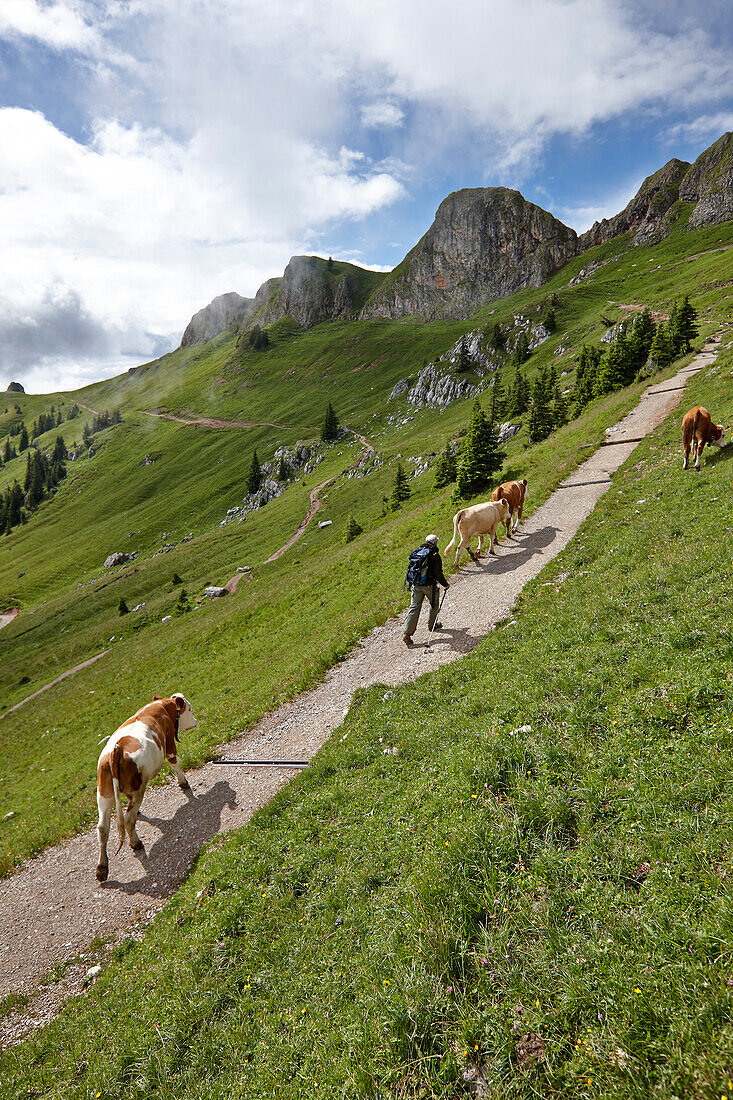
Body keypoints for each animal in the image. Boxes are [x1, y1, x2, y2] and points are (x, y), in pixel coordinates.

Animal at [94, 690, 197, 880]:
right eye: (189, 708)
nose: (195, 722)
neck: (162, 707)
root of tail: (116, 750)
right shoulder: (169, 743)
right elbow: (175, 763)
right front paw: (184, 783)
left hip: (104, 795)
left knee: (103, 828)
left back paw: (102, 868)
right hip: (138, 789)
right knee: (128, 819)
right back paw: (135, 843)